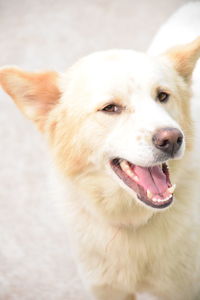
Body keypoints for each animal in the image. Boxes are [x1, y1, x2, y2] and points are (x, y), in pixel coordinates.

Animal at [0, 2, 200, 300]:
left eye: (162, 96)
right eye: (111, 108)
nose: (173, 139)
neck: (131, 223)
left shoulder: (182, 290)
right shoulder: (106, 290)